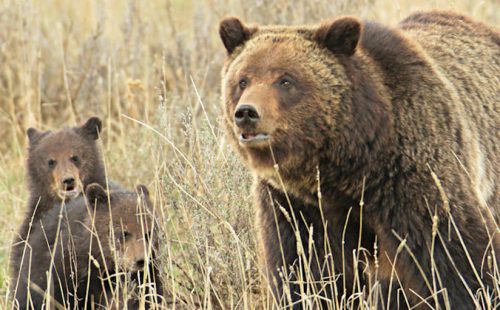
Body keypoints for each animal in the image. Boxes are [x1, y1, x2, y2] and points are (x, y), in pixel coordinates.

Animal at [220, 10, 500, 308]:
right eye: (243, 80)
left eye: (286, 80)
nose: (247, 113)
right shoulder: (294, 204)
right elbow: (301, 268)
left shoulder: (411, 174)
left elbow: (457, 250)